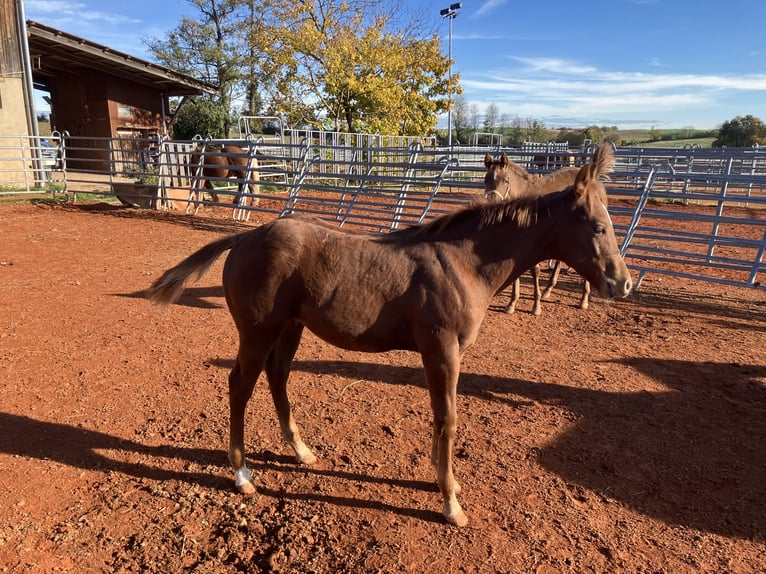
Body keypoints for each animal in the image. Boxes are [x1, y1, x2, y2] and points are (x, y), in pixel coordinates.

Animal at [484, 152, 594, 313]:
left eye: (505, 181)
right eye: (485, 180)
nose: (492, 204)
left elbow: (535, 270)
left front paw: (536, 306)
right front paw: (511, 304)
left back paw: (584, 300)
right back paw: (548, 289)